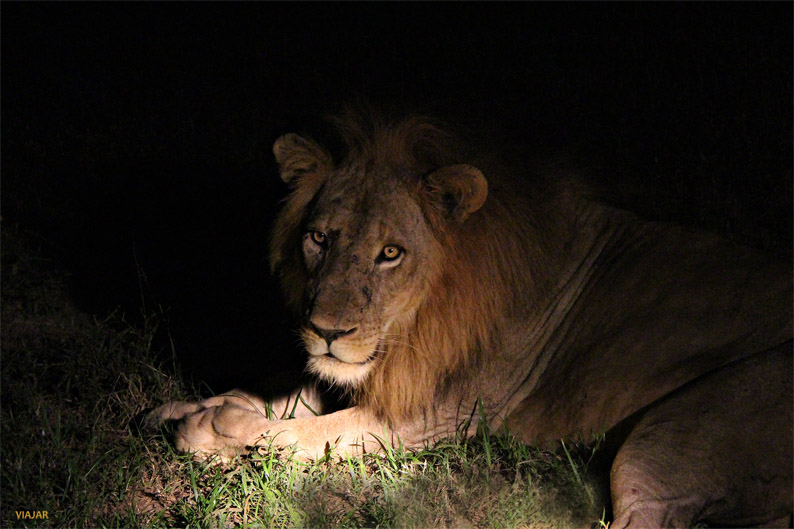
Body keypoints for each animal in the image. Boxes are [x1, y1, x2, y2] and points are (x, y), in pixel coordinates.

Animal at [150, 111, 792, 528]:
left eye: (390, 253)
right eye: (319, 238)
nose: (329, 331)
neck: (417, 322)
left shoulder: (439, 417)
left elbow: (305, 434)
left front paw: (212, 431)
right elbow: (283, 393)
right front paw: (185, 408)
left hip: (663, 445)